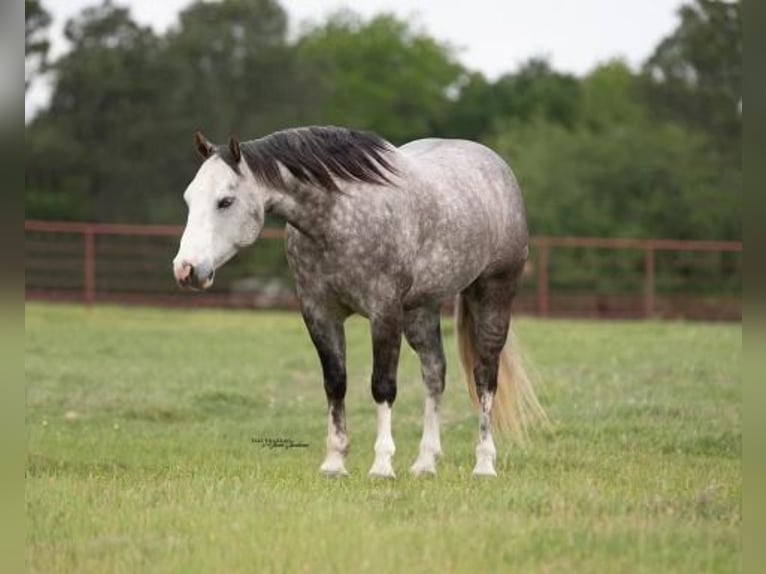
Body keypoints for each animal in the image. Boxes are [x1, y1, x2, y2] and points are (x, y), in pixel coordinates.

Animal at [174, 128, 544, 480]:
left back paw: (484, 464)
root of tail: (495, 166)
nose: (185, 269)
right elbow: (335, 384)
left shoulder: (384, 312)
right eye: (189, 198)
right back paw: (425, 463)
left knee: (485, 377)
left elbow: (382, 386)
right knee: (435, 373)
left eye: (225, 201)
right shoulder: (319, 313)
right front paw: (334, 463)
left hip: (493, 294)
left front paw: (381, 465)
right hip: (421, 310)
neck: (338, 217)